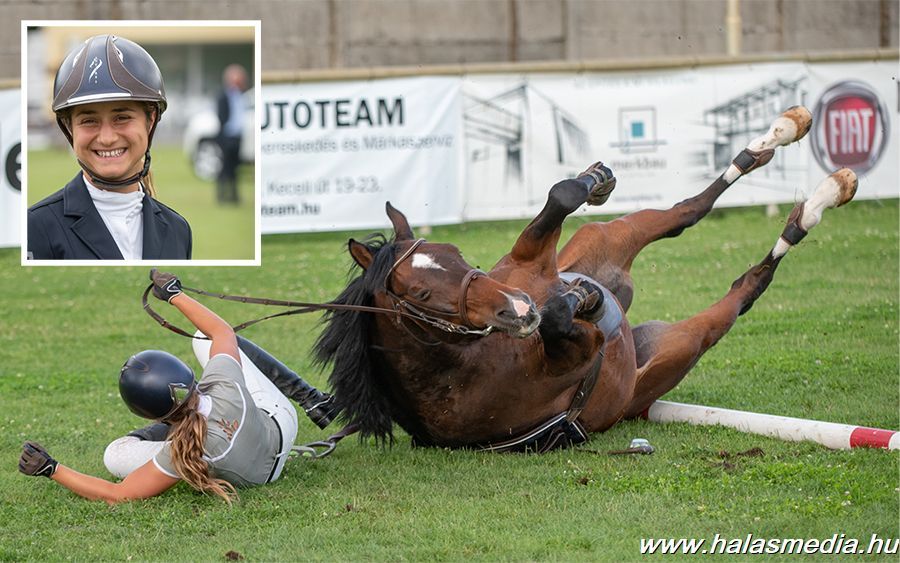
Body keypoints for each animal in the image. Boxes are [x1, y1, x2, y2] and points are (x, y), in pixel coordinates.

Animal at [316, 104, 856, 450]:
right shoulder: (576, 347)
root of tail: (637, 330)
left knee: (688, 211)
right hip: (681, 349)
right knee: (745, 287)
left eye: (458, 254)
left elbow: (560, 197)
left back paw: (784, 143)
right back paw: (817, 202)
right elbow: (561, 317)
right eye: (421, 291)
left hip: (605, 237)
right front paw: (575, 301)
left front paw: (592, 181)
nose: (518, 308)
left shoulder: (530, 258)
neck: (471, 358)